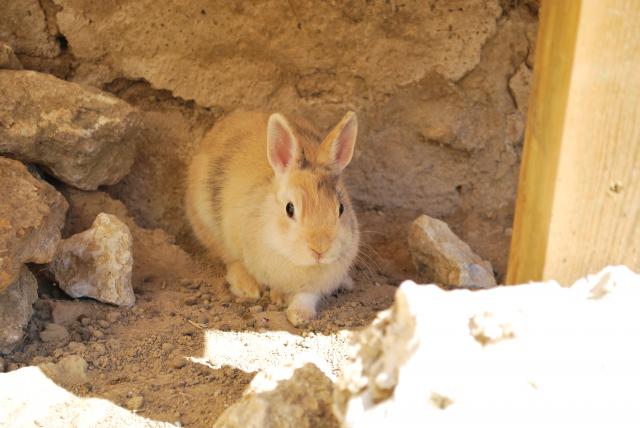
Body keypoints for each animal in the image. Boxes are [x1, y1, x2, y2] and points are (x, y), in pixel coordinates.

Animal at [185, 110, 360, 324]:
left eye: (341, 208)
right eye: (289, 209)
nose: (320, 250)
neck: (298, 262)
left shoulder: (318, 283)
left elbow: (306, 296)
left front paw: (298, 315)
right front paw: (275, 297)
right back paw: (247, 287)